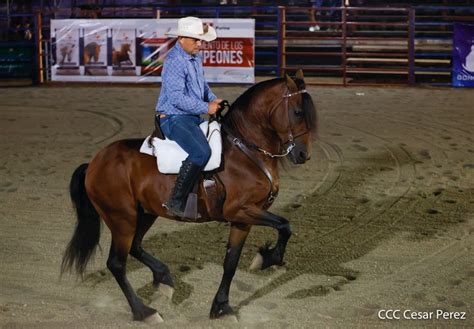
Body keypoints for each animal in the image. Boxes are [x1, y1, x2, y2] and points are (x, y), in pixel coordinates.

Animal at [61, 69, 316, 320]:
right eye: (297, 112)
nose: (303, 155)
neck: (246, 150)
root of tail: (94, 163)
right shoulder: (240, 210)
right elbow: (285, 225)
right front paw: (268, 259)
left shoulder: (243, 219)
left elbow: (231, 262)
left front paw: (221, 306)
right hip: (122, 218)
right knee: (117, 263)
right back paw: (143, 311)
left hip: (144, 213)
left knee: (135, 246)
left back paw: (164, 278)